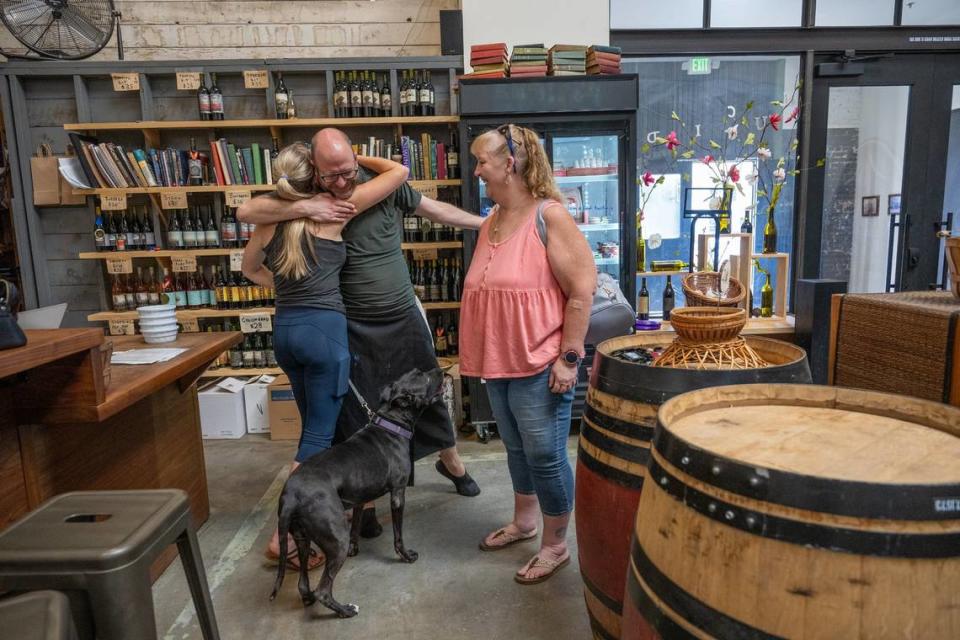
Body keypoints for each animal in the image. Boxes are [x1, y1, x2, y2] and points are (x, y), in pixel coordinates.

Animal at [270, 368, 446, 616]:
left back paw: (309, 598)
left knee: (304, 583)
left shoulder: (360, 499)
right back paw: (345, 610)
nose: (440, 370)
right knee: (323, 590)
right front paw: (405, 555)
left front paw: (356, 548)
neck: (391, 424)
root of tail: (291, 496)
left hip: (302, 537)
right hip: (336, 540)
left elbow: (355, 526)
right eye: (424, 377)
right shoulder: (398, 493)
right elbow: (398, 534)